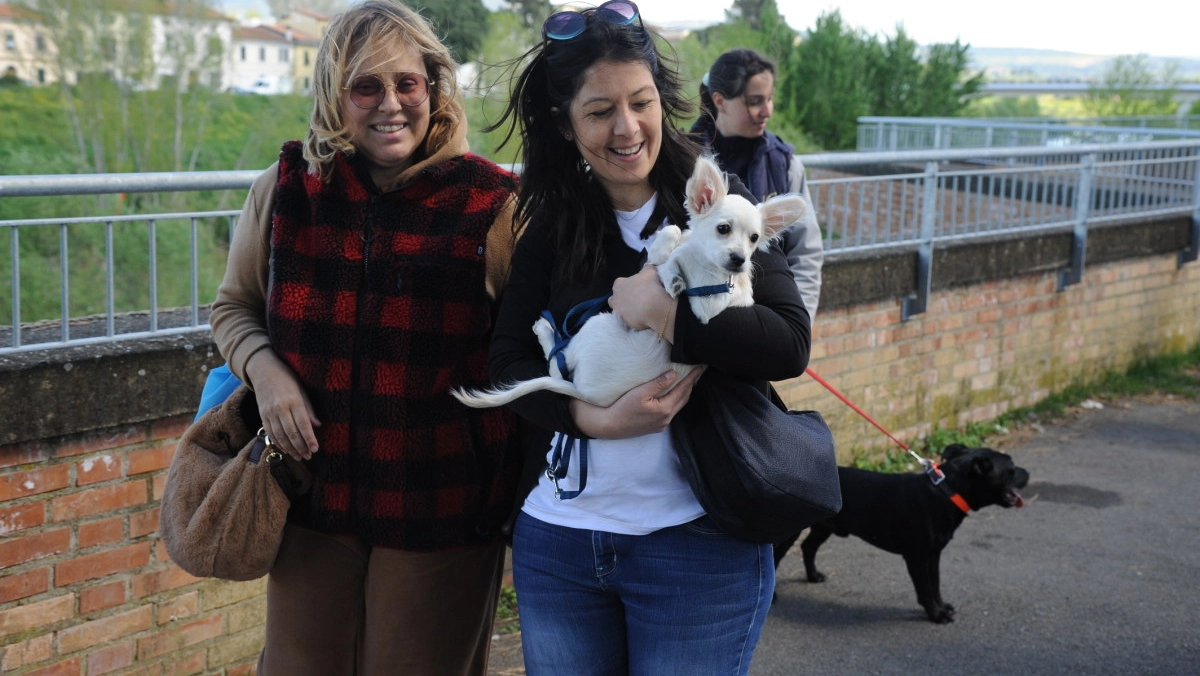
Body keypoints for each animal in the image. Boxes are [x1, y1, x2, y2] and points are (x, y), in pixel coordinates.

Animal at [451, 157, 806, 410]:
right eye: (723, 229)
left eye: (754, 238)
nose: (739, 259)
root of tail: (585, 394)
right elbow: (672, 234)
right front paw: (670, 261)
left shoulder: (706, 304)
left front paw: (674, 274)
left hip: (596, 326)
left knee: (556, 365)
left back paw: (546, 330)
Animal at [777, 444, 1032, 624]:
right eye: (1010, 470)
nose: (1027, 472)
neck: (946, 490)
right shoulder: (916, 557)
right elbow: (925, 588)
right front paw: (936, 615)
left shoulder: (933, 554)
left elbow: (935, 584)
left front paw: (941, 607)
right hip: (788, 535)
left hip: (825, 528)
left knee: (808, 546)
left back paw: (813, 576)